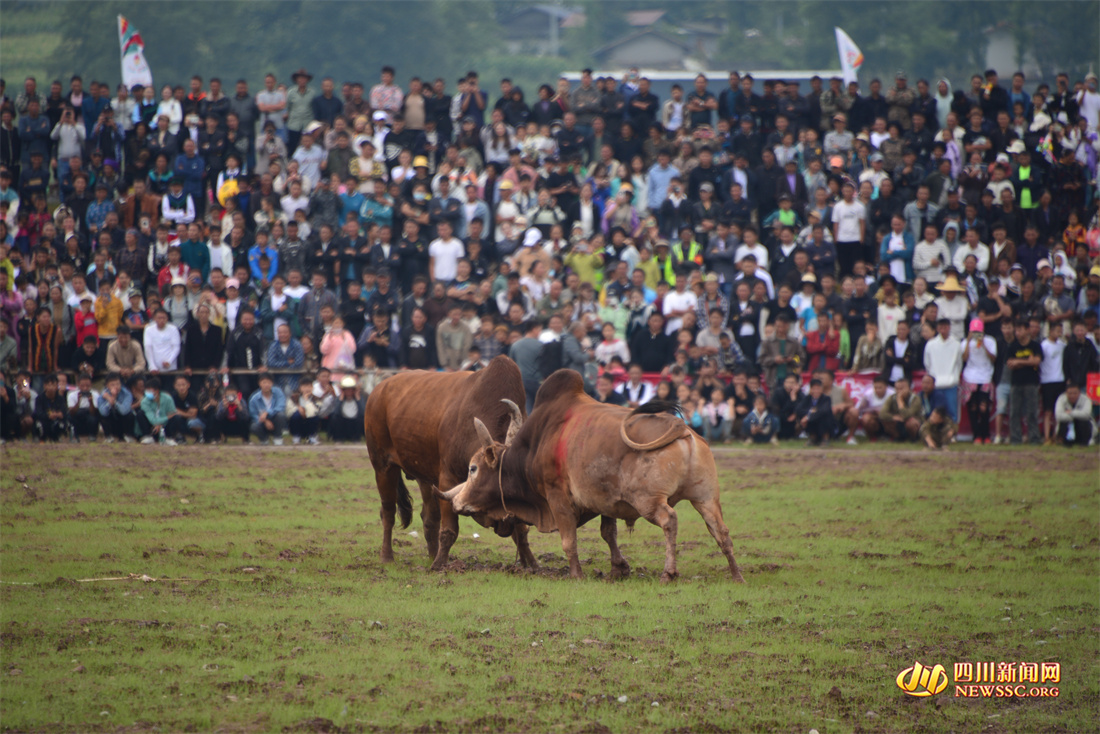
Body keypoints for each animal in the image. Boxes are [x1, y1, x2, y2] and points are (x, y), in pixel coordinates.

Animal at [365, 354, 536, 567]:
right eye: (473, 469)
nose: (504, 522)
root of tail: (379, 388)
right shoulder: (447, 478)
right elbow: (449, 530)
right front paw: (439, 565)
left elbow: (521, 533)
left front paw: (532, 564)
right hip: (383, 466)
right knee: (388, 512)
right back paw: (387, 556)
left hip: (424, 475)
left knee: (428, 517)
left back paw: (431, 555)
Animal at [440, 369, 748, 581]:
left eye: (473, 468)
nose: (456, 502)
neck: (535, 444)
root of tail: (681, 428)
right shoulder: (606, 501)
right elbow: (608, 533)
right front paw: (619, 569)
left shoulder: (557, 497)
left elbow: (569, 540)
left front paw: (576, 574)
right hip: (705, 498)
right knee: (721, 531)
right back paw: (736, 575)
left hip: (649, 501)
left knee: (669, 520)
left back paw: (668, 573)